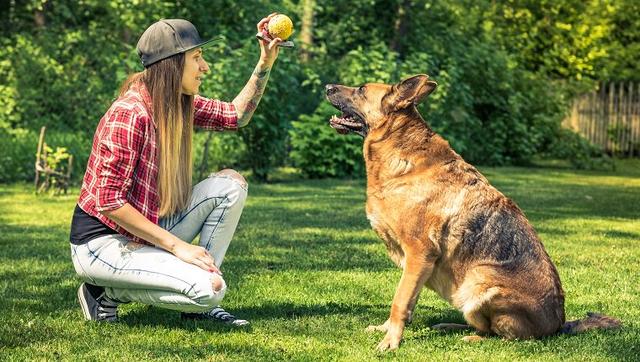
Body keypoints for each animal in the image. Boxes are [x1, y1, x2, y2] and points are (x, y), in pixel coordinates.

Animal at [324, 75, 620, 350]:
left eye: (361, 89)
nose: (327, 86)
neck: (401, 152)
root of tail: (559, 325)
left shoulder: (419, 253)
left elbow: (400, 300)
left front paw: (391, 341)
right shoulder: (417, 264)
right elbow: (408, 299)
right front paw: (388, 329)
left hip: (478, 281)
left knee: (504, 337)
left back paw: (470, 337)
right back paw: (450, 327)